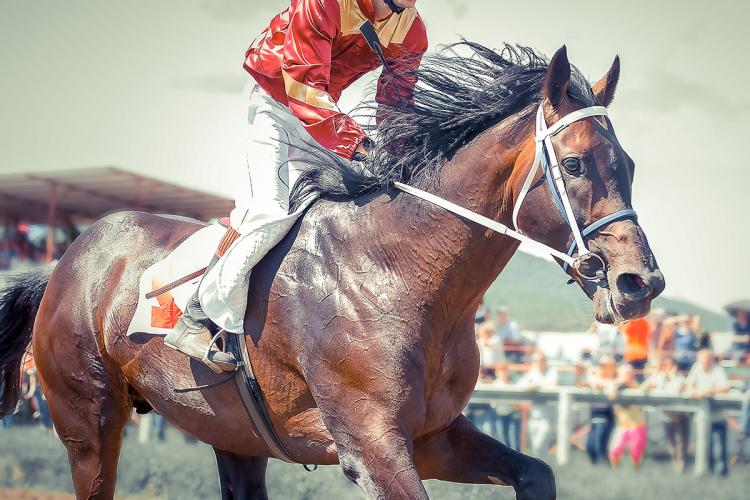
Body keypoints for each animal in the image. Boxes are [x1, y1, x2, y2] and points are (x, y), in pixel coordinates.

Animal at [2, 44, 668, 500]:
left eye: (631, 164)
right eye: (576, 164)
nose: (640, 282)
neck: (398, 273)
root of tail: (65, 261)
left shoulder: (432, 436)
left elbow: (538, 473)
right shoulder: (371, 444)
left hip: (231, 432)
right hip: (88, 422)